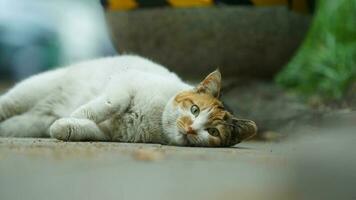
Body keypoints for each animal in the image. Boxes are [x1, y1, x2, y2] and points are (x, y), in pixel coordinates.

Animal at [0, 54, 256, 147]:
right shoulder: (126, 81)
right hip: (29, 91)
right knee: (8, 104)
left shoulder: (108, 134)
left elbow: (81, 129)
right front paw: (78, 113)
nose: (192, 129)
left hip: (28, 123)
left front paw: (64, 125)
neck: (155, 120)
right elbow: (110, 103)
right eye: (194, 109)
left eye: (213, 132)